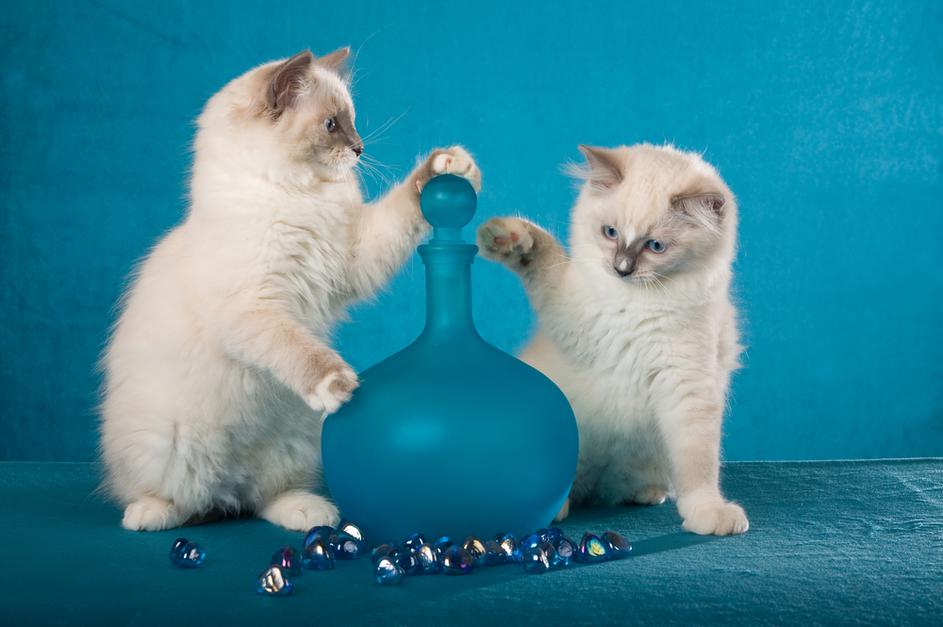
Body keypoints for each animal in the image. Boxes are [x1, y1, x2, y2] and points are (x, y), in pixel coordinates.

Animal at [99, 48, 481, 532]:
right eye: (332, 125)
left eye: (353, 121)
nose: (360, 148)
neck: (298, 198)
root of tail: (227, 484)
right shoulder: (254, 312)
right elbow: (297, 349)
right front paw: (337, 384)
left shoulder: (354, 258)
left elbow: (404, 207)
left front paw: (449, 165)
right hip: (165, 449)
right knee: (180, 498)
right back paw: (148, 515)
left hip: (294, 443)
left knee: (263, 497)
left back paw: (310, 513)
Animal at [477, 143, 747, 535]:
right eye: (610, 232)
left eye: (655, 246)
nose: (621, 268)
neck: (633, 303)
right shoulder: (571, 318)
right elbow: (544, 254)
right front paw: (510, 240)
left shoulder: (688, 385)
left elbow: (697, 466)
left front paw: (707, 513)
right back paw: (553, 508)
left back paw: (642, 494)